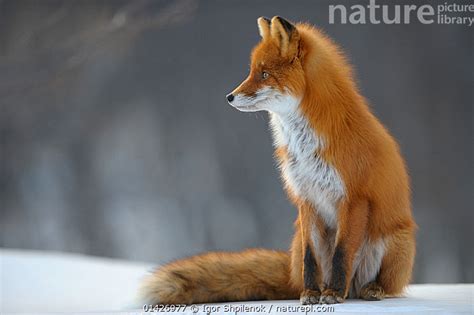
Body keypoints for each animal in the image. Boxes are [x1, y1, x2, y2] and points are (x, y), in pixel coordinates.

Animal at [141, 16, 414, 304]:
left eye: (264, 74)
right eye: (251, 71)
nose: (229, 97)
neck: (305, 145)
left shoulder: (354, 199)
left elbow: (341, 254)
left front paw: (332, 294)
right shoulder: (307, 198)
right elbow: (311, 258)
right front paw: (311, 294)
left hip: (394, 241)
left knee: (382, 284)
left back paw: (371, 289)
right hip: (299, 241)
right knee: (305, 270)